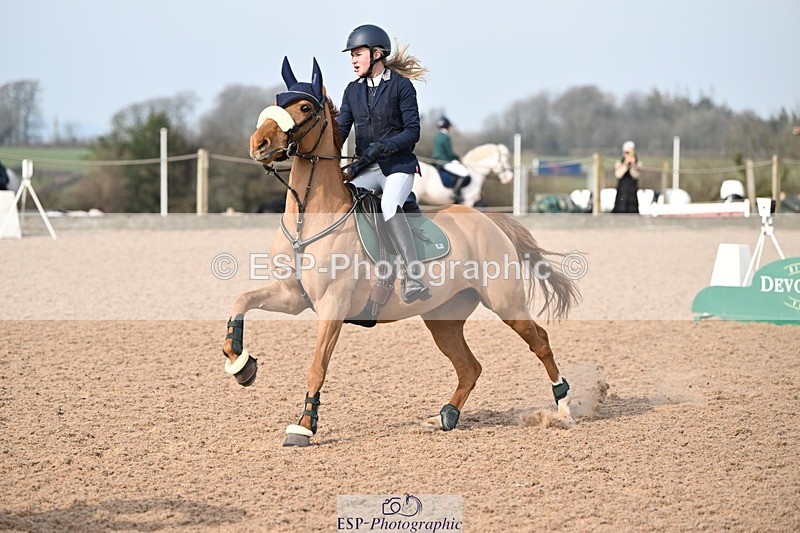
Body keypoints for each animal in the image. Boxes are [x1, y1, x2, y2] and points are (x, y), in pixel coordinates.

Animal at [222, 57, 580, 447]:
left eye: (304, 108)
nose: (258, 144)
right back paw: (444, 417)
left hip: (506, 304)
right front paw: (241, 364)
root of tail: (488, 220)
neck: (308, 220)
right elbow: (241, 301)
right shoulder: (292, 296)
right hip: (443, 317)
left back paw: (563, 407)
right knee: (470, 367)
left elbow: (317, 366)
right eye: (277, 100)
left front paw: (303, 426)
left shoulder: (333, 307)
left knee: (539, 342)